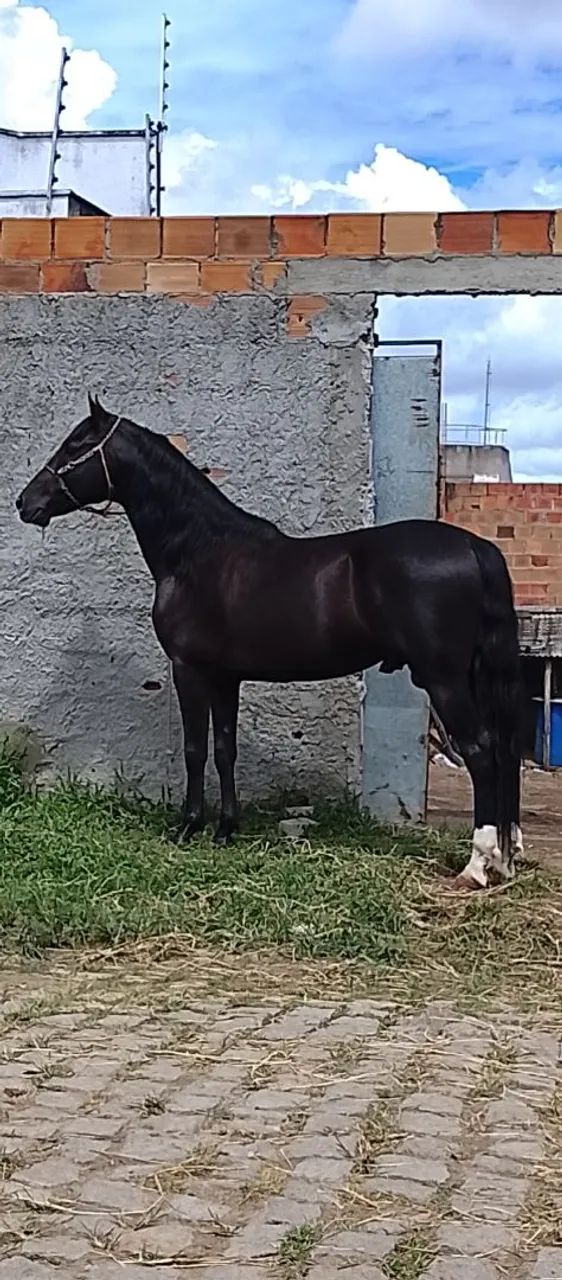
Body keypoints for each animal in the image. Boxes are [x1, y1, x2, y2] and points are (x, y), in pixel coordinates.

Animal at [16, 396, 523, 890]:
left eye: (77, 444)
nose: (25, 502)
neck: (197, 552)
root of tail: (477, 547)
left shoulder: (189, 670)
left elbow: (195, 750)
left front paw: (188, 826)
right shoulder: (225, 678)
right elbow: (225, 749)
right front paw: (225, 829)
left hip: (444, 679)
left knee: (481, 751)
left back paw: (477, 864)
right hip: (474, 676)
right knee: (503, 748)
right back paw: (505, 857)